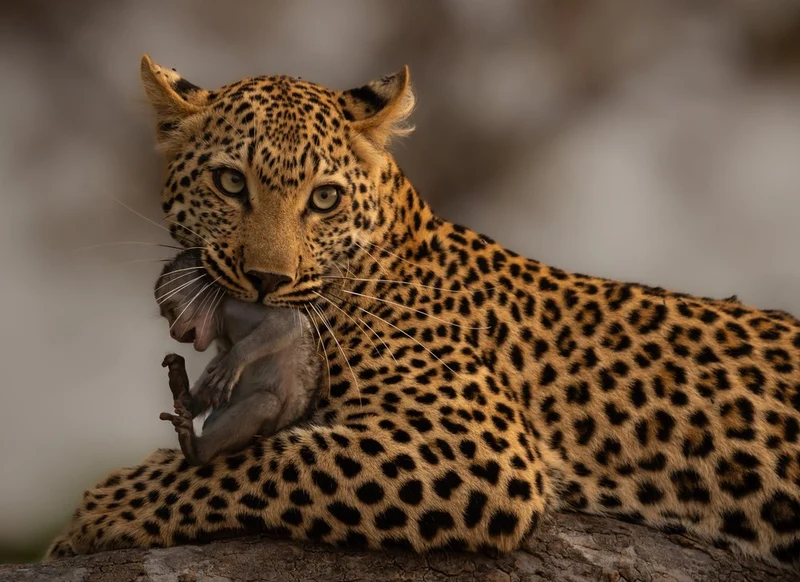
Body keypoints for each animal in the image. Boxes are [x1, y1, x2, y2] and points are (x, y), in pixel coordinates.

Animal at [45, 55, 800, 570]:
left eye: (323, 198)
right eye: (232, 183)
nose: (265, 281)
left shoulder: (478, 446)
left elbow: (263, 460)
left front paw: (100, 510)